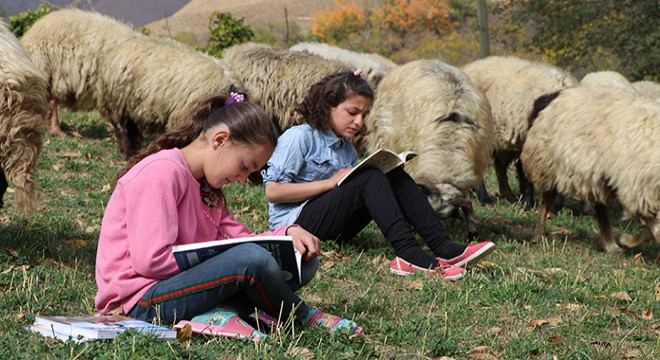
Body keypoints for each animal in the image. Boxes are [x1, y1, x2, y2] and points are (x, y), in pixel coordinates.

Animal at [520, 86, 660, 252]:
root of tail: (551, 96)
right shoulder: (636, 191)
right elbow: (655, 229)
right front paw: (628, 240)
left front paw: (628, 241)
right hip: (548, 167)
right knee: (546, 203)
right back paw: (539, 235)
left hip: (594, 176)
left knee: (599, 207)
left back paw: (610, 244)